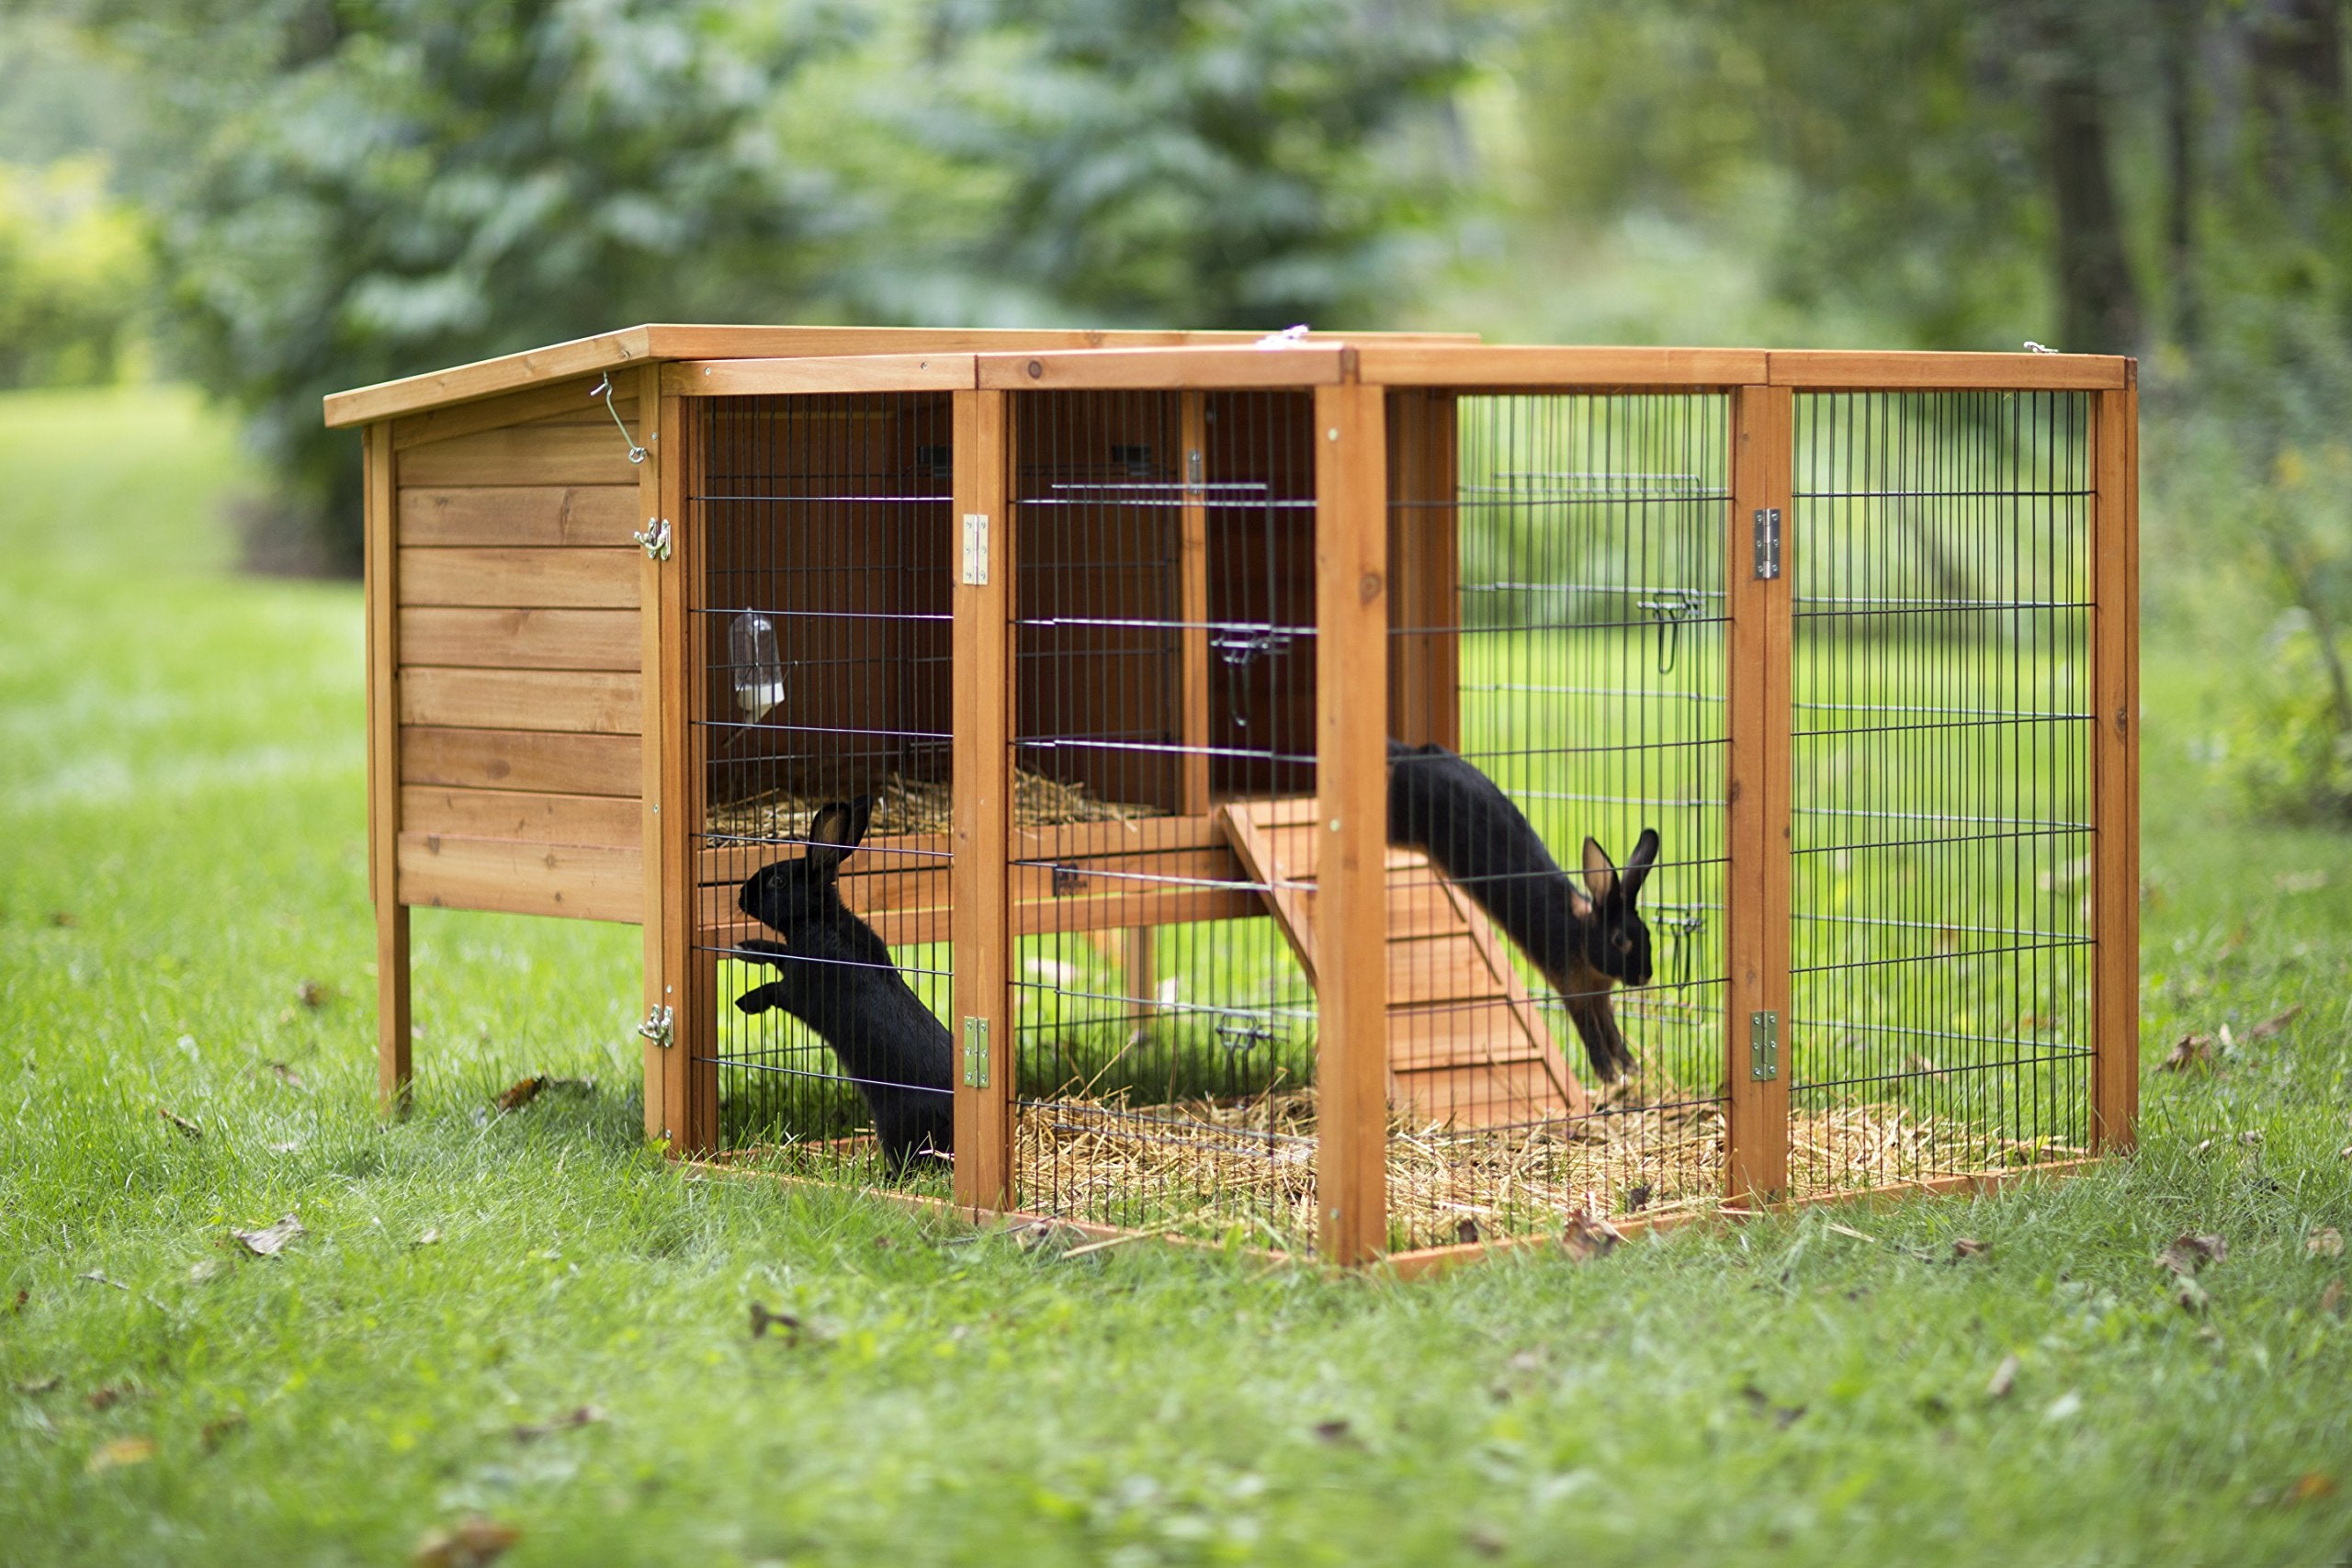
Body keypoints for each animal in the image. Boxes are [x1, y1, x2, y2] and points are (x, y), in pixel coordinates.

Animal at [732, 797, 956, 1174]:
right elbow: (776, 952)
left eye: (777, 880)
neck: (818, 918)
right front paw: (746, 948)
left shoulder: (799, 989)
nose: (740, 896)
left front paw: (746, 1001)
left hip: (895, 1126)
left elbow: (775, 990)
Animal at [1386, 739, 1659, 1083]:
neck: (1580, 936)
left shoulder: (1599, 995)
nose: (1645, 975)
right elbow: (1592, 1034)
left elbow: (1610, 1030)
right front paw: (1609, 1076)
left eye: (1647, 933)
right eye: (1620, 940)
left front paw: (1631, 1068)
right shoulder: (1574, 990)